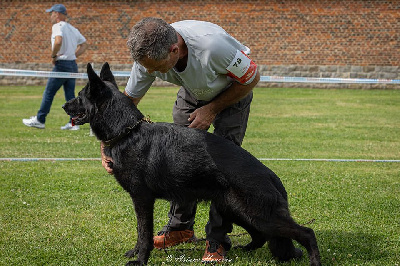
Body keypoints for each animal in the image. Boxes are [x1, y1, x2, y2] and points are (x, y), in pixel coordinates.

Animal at [62, 62, 322, 266]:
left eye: (79, 97)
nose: (64, 106)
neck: (128, 131)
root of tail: (271, 175)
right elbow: (139, 232)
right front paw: (135, 252)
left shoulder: (142, 199)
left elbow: (144, 232)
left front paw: (140, 259)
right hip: (238, 211)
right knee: (260, 237)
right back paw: (246, 249)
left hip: (259, 215)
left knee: (306, 233)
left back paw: (314, 260)